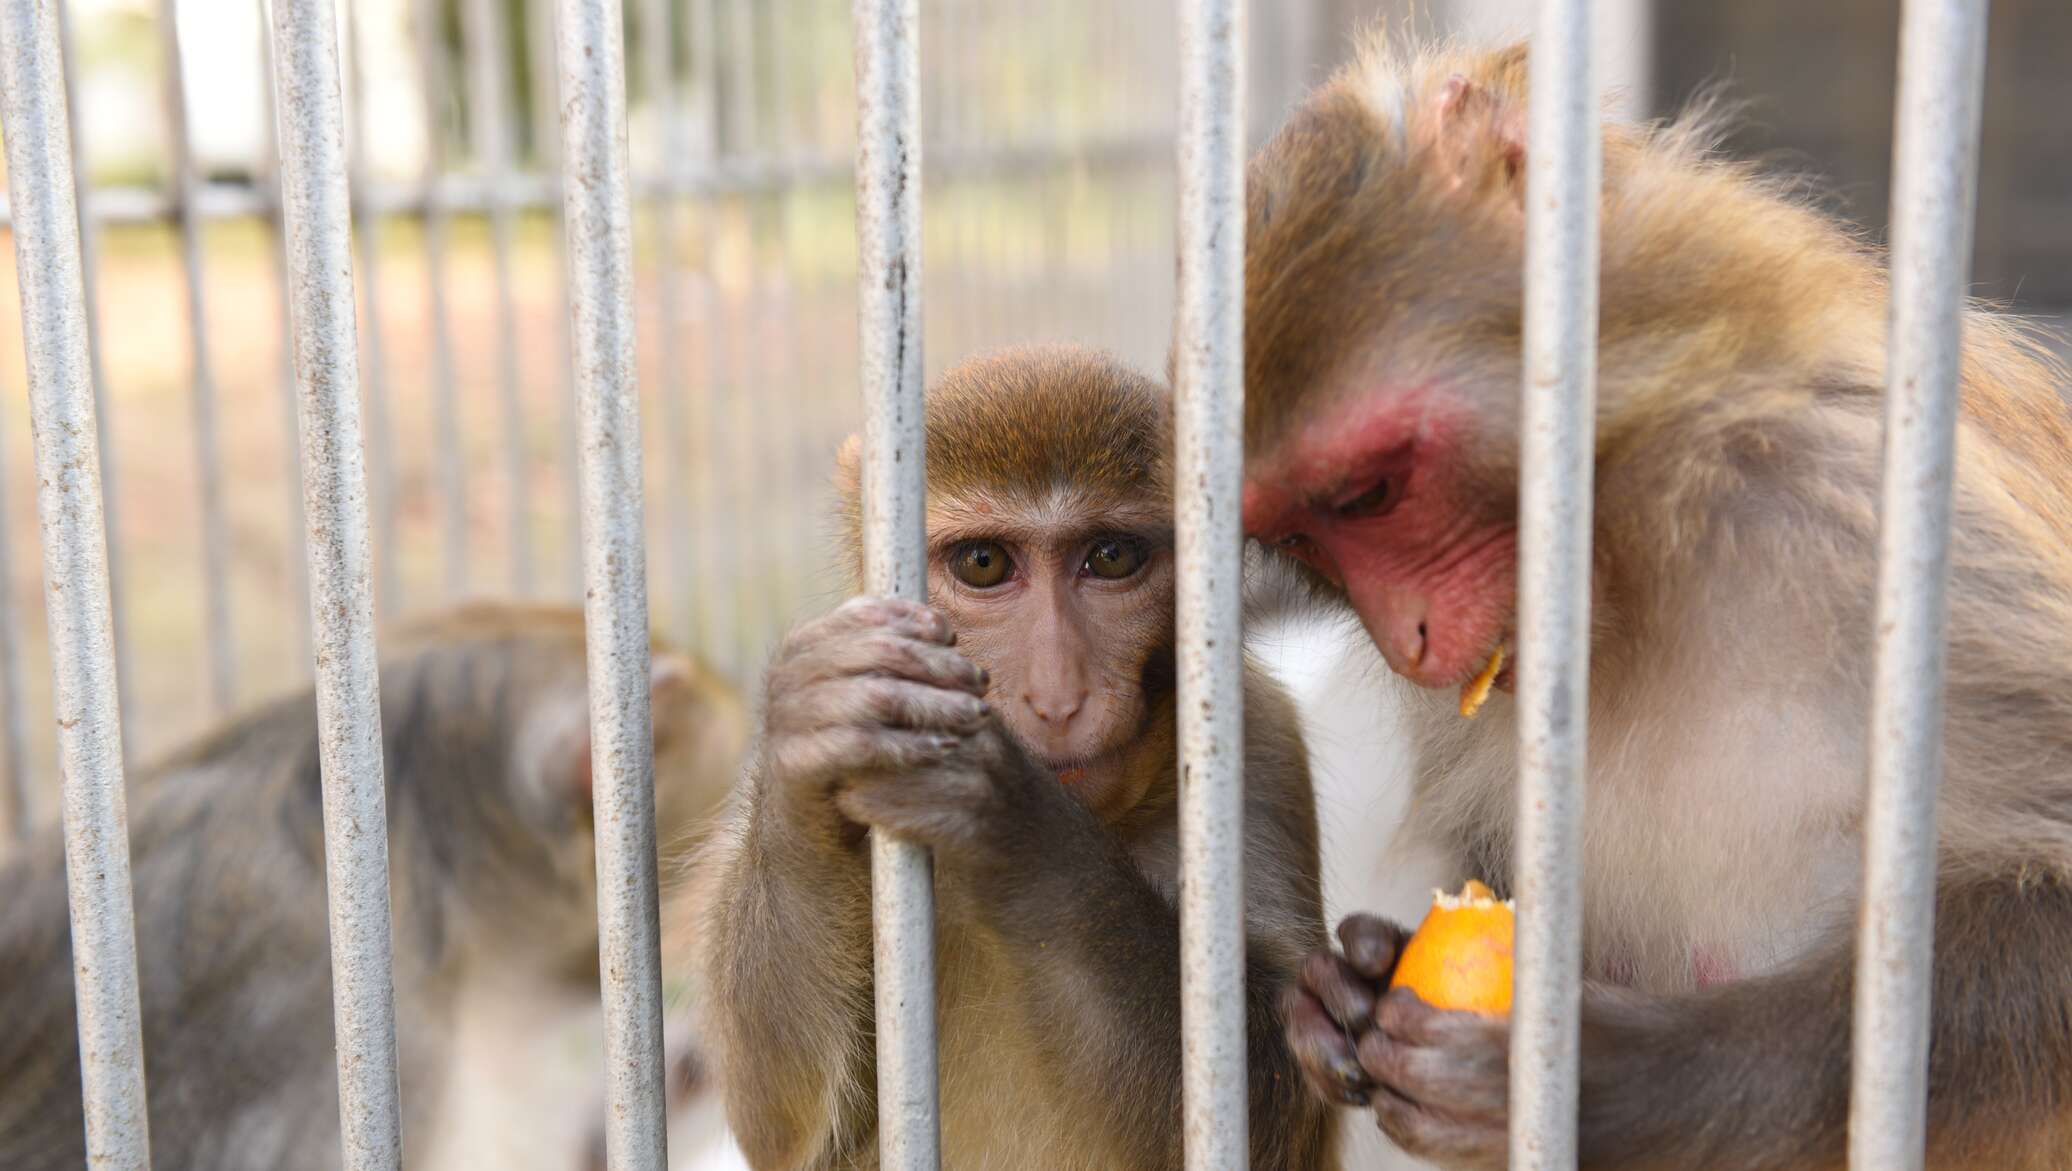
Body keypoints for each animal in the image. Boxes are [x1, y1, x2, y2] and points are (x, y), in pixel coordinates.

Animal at [692, 344, 1342, 1168]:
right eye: (982, 563)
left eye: (1111, 556)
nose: (1057, 695)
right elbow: (782, 1120)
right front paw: (816, 733)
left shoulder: (1260, 753)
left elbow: (1272, 1091)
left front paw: (1017, 824)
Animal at [1234, 36, 2072, 1168]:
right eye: (1296, 538)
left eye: (1364, 495)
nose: (1408, 638)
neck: (1642, 539)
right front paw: (1353, 984)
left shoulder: (1863, 499)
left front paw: (1608, 1073)